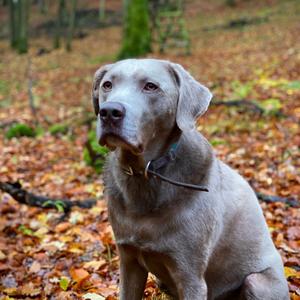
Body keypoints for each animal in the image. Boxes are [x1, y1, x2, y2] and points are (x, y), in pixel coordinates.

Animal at [91, 59, 288, 300]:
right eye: (107, 85)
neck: (144, 172)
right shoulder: (128, 262)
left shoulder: (190, 275)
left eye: (151, 86)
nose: (109, 112)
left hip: (258, 282)